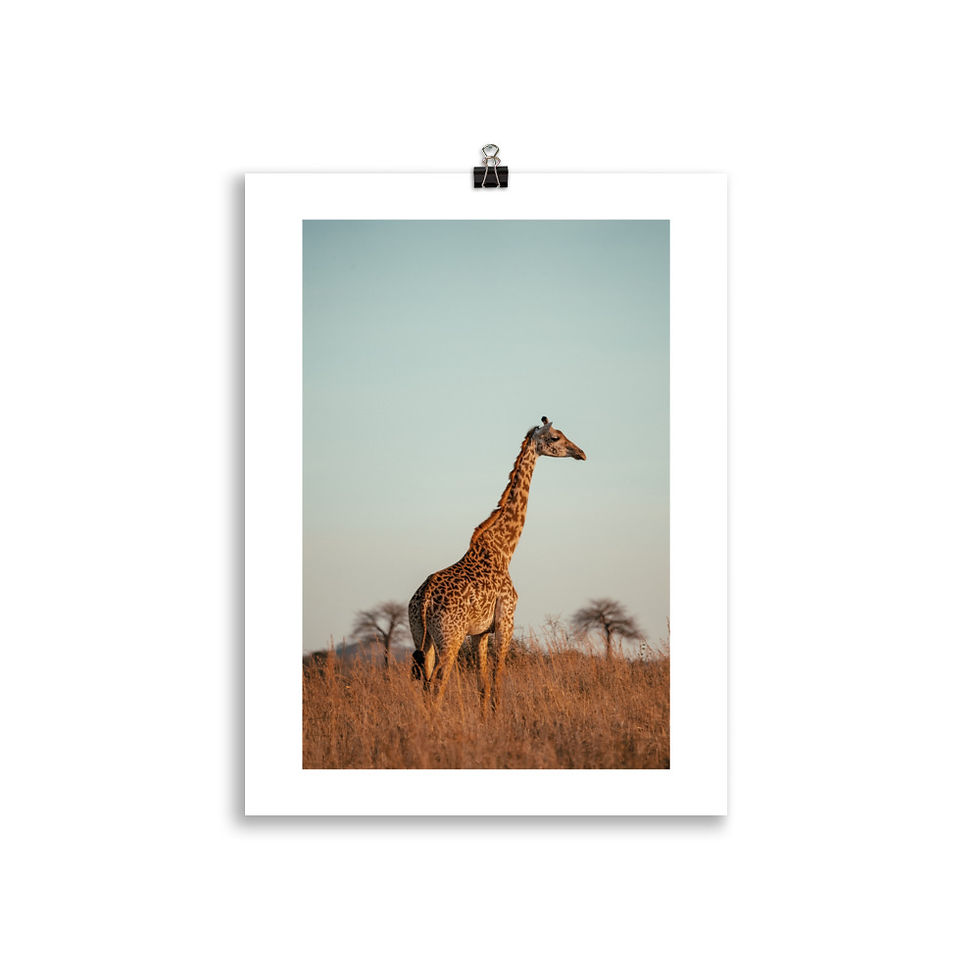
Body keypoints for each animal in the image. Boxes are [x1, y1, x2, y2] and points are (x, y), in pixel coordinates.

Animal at [408, 416, 586, 711]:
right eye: (555, 438)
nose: (581, 453)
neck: (504, 550)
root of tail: (423, 599)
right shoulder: (506, 622)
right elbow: (497, 681)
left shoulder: (479, 633)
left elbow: (483, 685)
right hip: (450, 637)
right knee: (437, 683)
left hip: (421, 635)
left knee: (425, 682)